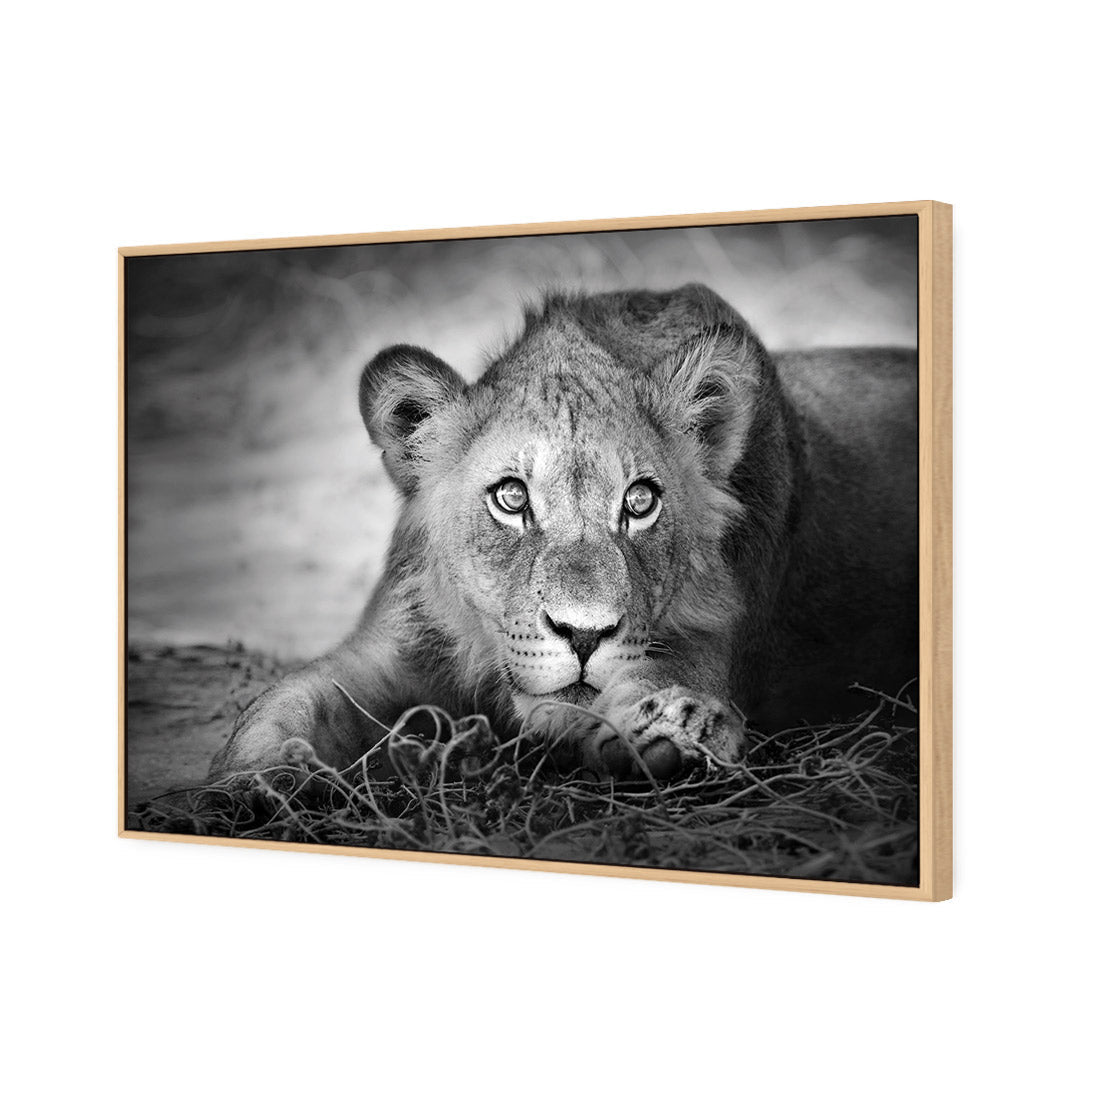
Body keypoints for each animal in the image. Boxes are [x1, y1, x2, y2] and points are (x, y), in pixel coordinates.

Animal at [210, 283, 917, 783]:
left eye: (640, 501)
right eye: (511, 497)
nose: (583, 635)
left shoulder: (714, 644)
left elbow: (645, 687)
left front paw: (672, 731)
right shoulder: (390, 648)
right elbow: (279, 706)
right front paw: (248, 786)